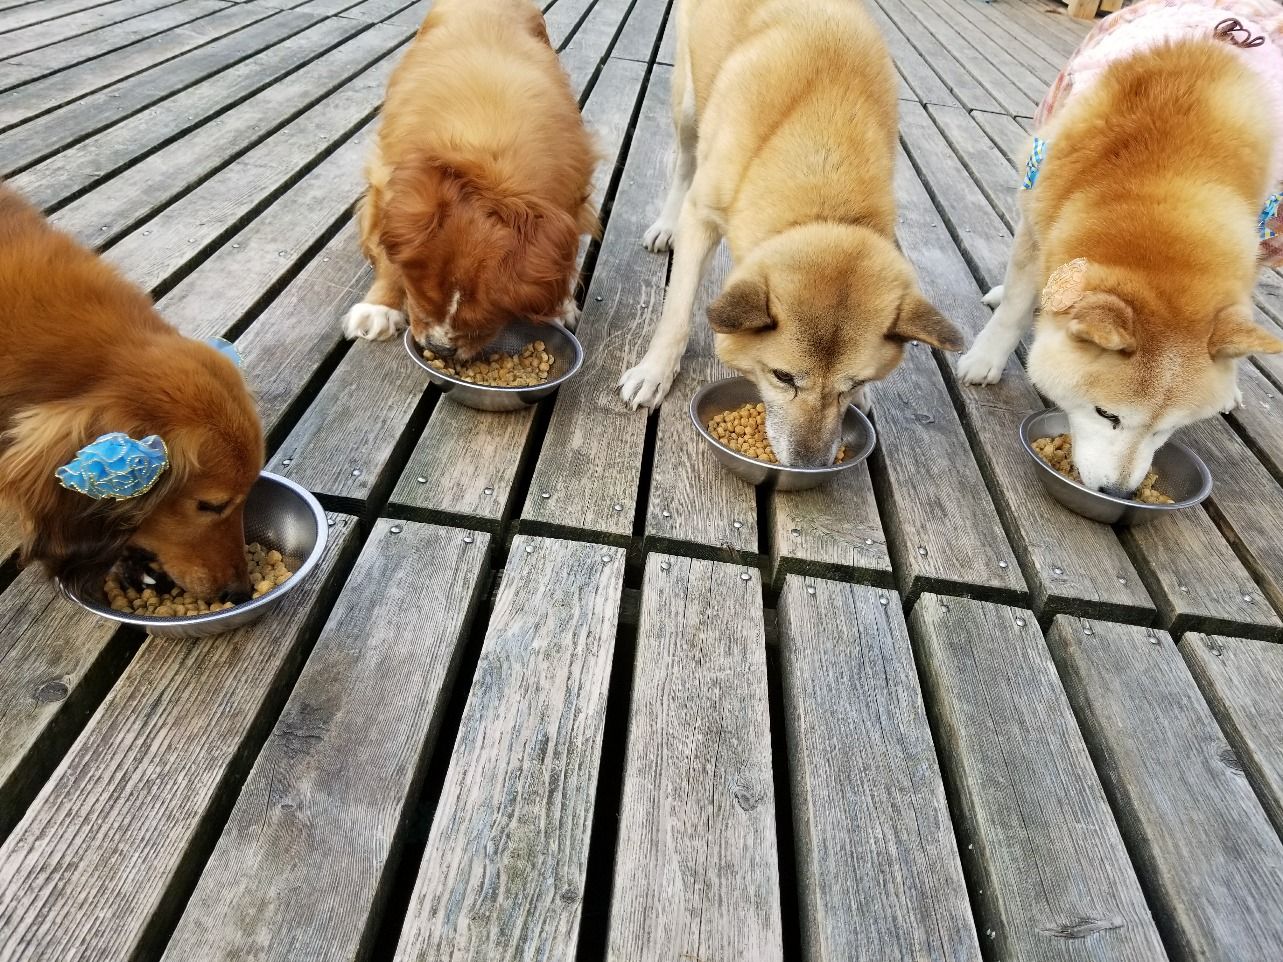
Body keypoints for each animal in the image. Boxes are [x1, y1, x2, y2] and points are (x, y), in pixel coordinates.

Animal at [342, 0, 598, 360]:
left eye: (491, 312)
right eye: (419, 289)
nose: (440, 348)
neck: (486, 160)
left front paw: (560, 306)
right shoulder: (385, 183)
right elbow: (388, 253)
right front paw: (381, 307)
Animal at [617, 0, 962, 467]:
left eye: (852, 384)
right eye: (782, 377)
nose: (809, 467)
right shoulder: (703, 218)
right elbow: (677, 313)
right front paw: (654, 372)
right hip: (688, 107)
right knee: (684, 161)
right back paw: (666, 224)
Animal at [958, 0, 1283, 496]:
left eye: (1167, 429)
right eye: (1106, 414)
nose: (1119, 493)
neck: (1164, 175)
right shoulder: (1040, 216)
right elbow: (1015, 306)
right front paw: (985, 359)